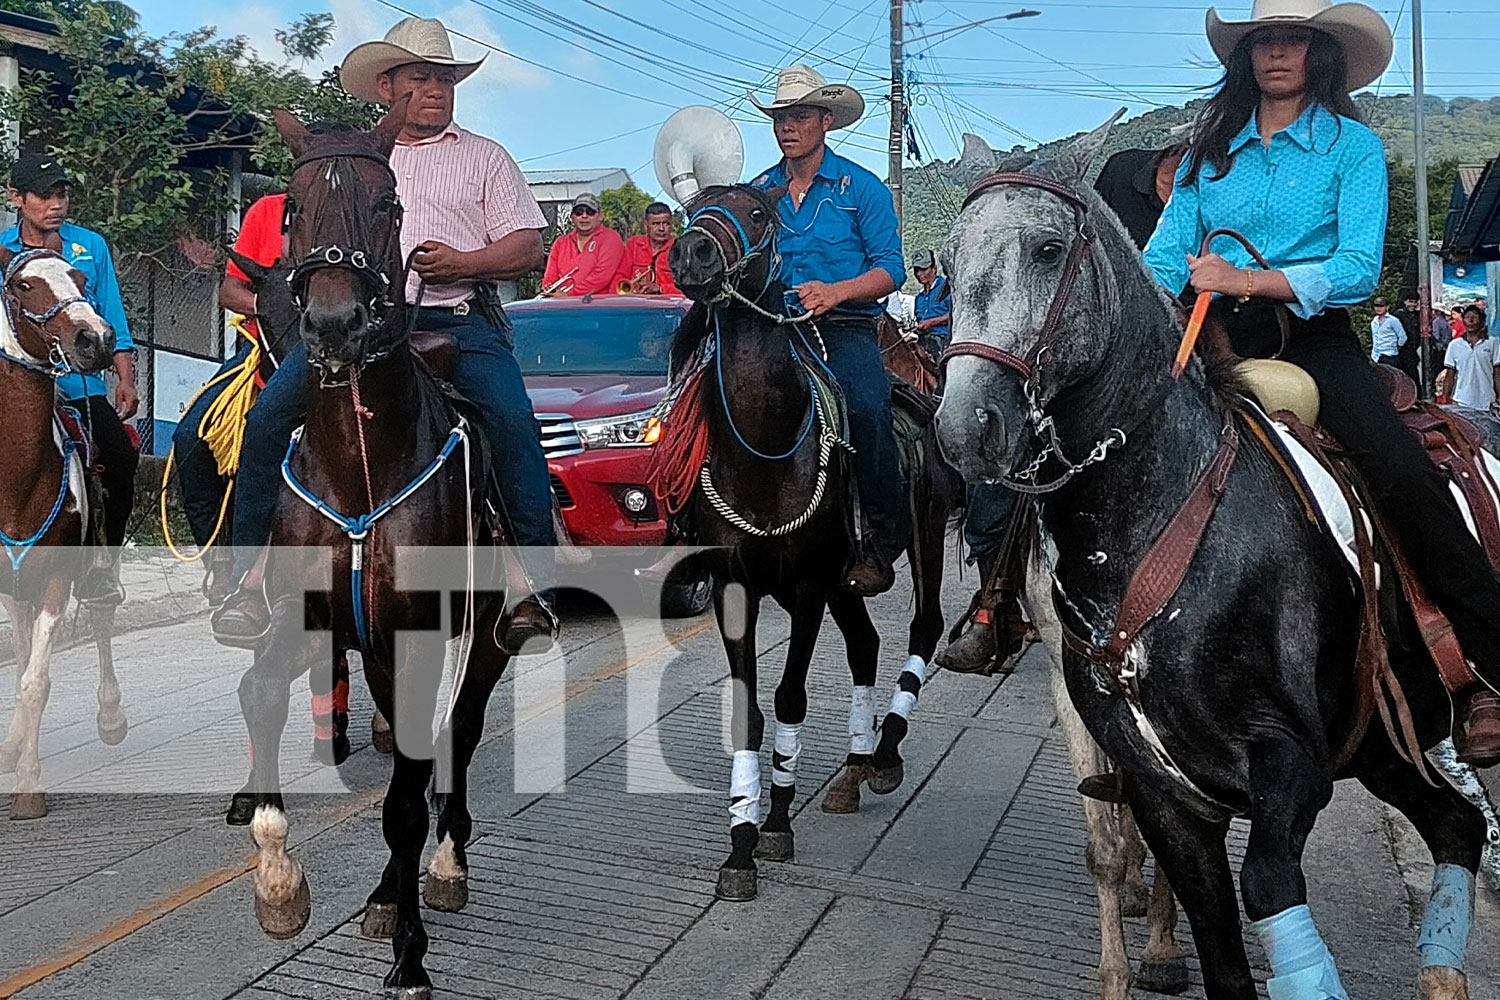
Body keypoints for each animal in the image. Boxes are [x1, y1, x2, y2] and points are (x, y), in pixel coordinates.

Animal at [228, 105, 519, 995]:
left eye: (390, 207)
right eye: (291, 210)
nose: (333, 325)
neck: (360, 460)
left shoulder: (425, 637)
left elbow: (404, 800)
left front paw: (411, 960)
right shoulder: (312, 622)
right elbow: (259, 693)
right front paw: (278, 883)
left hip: (482, 641)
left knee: (452, 744)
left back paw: (443, 869)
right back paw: (389, 896)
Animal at [666, 183, 960, 905]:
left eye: (759, 212)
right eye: (695, 207)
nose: (691, 253)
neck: (764, 450)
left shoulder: (803, 587)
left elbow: (790, 698)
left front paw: (774, 823)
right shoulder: (739, 588)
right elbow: (748, 712)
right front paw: (742, 841)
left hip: (921, 536)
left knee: (922, 626)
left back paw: (883, 754)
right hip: (843, 580)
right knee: (865, 644)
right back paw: (853, 766)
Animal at [936, 119, 1488, 1000]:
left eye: (1049, 249)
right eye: (948, 266)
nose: (965, 429)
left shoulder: (1289, 760)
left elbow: (1262, 884)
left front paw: (1161, 954)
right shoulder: (1135, 754)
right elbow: (1140, 867)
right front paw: (1131, 962)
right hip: (1384, 743)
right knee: (1458, 826)